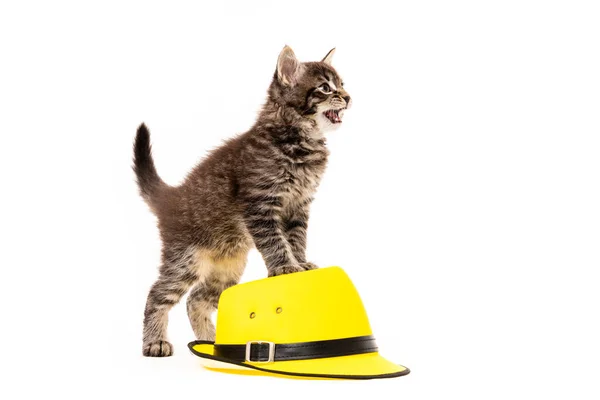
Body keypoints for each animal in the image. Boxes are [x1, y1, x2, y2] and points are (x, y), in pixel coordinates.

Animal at [132, 46, 352, 356]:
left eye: (342, 84)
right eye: (325, 88)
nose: (348, 97)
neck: (300, 139)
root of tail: (172, 196)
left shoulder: (299, 206)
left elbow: (296, 238)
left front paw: (300, 262)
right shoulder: (260, 203)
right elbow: (276, 241)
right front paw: (284, 267)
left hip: (228, 266)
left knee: (196, 298)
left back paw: (210, 339)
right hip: (186, 259)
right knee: (158, 294)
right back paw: (155, 342)